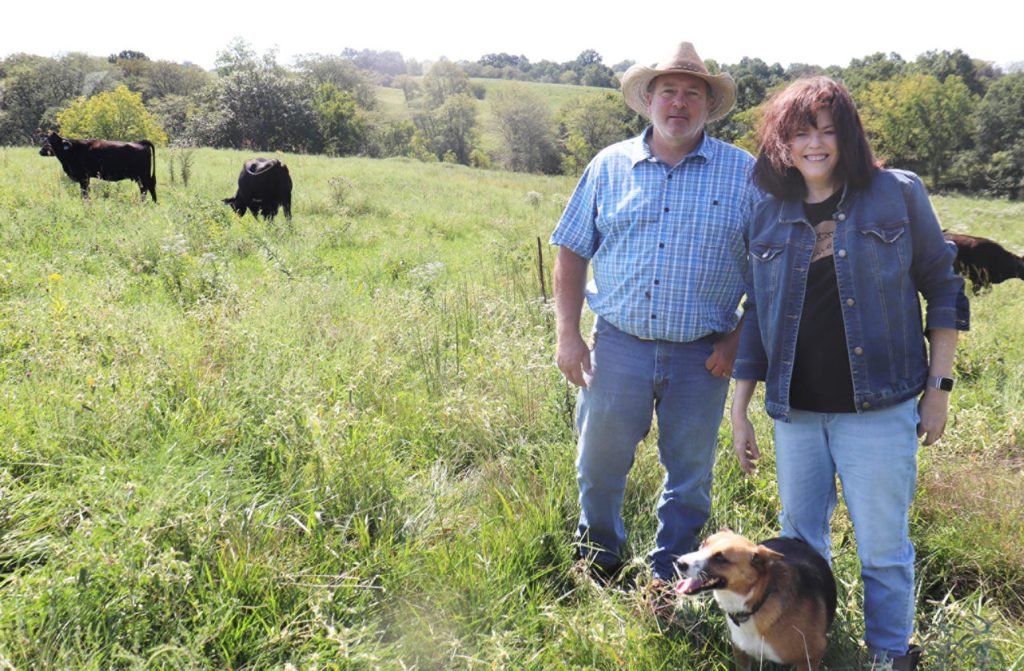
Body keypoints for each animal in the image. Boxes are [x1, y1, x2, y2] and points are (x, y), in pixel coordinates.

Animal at [675, 528, 835, 671]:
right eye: (703, 544)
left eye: (720, 558)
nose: (679, 562)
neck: (757, 603)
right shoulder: (740, 652)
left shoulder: (812, 656)